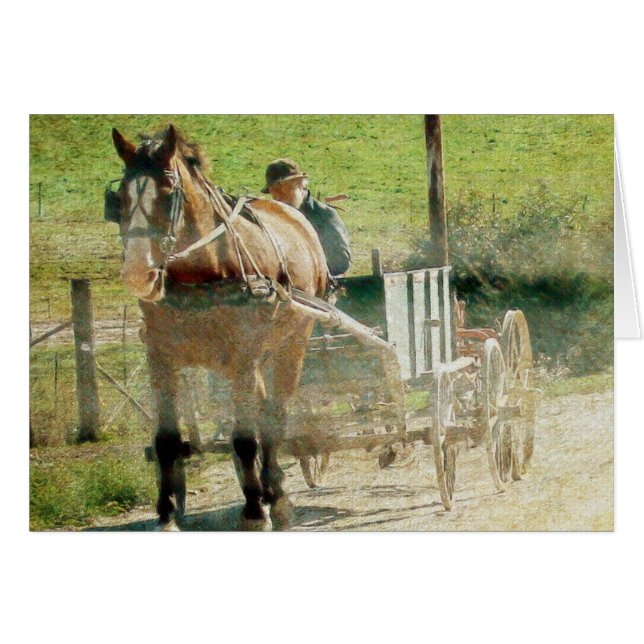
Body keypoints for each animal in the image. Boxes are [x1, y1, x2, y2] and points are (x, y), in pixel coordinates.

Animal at [107, 125, 328, 530]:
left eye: (168, 190)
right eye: (121, 195)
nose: (137, 273)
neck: (202, 274)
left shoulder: (243, 357)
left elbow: (244, 439)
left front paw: (254, 512)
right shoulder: (161, 357)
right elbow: (167, 441)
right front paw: (167, 514)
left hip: (291, 345)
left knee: (275, 415)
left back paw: (276, 498)